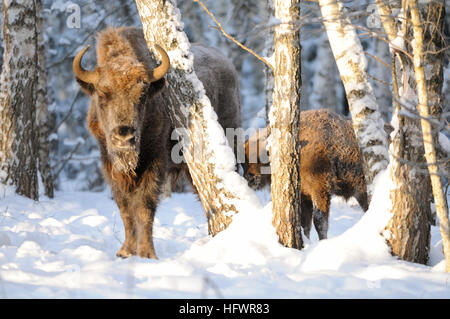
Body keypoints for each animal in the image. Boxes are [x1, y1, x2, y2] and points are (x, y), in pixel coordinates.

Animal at [74, 27, 243, 260]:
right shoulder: (109, 164)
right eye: (102, 93)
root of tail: (228, 66)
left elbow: (144, 206)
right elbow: (124, 207)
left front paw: (146, 253)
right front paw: (125, 251)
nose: (124, 136)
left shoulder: (155, 163)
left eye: (143, 94)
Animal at [244, 109, 368, 240]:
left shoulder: (320, 190)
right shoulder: (304, 195)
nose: (250, 178)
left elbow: (319, 221)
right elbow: (305, 224)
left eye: (259, 156)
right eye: (243, 162)